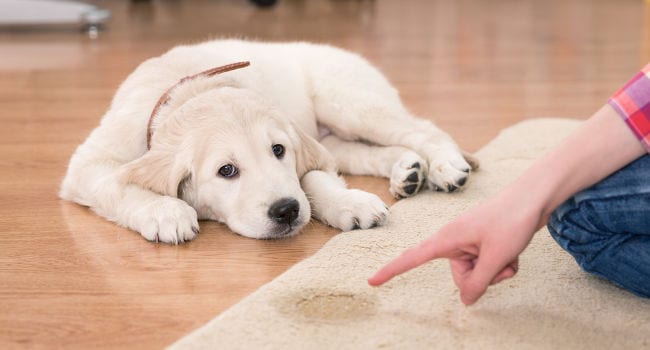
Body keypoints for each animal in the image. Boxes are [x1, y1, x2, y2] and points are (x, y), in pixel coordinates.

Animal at [60, 39, 476, 243]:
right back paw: (408, 170)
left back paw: (445, 166)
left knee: (424, 129)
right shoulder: (88, 164)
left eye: (278, 151)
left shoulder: (302, 146)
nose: (286, 211)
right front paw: (165, 212)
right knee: (364, 152)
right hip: (336, 135)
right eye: (226, 170)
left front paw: (348, 202)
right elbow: (117, 184)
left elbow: (312, 178)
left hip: (348, 103)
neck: (191, 90)